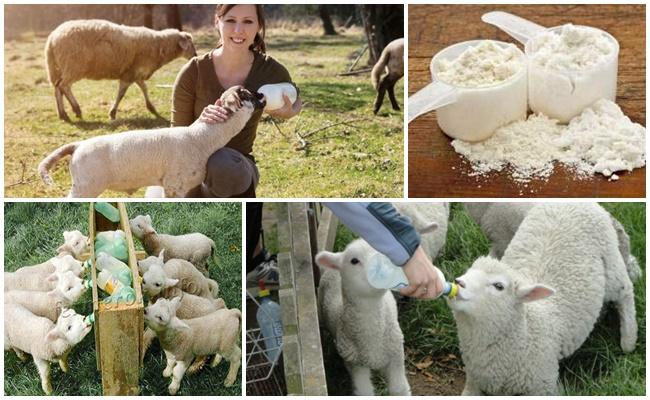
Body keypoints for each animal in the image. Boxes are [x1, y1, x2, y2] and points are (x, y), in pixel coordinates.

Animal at [44, 18, 195, 121]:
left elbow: (144, 88)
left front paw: (152, 108)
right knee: (64, 86)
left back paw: (63, 114)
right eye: (190, 44)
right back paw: (76, 110)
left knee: (57, 87)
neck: (159, 46)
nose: (195, 55)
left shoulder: (135, 73)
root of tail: (53, 37)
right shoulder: (131, 74)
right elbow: (122, 93)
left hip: (61, 67)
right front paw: (112, 113)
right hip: (74, 66)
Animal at [316, 239, 410, 396]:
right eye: (354, 260)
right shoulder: (356, 365)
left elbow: (399, 389)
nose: (382, 267)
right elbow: (365, 392)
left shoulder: (396, 356)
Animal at [448, 203, 636, 394]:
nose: (458, 282)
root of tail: (581, 203)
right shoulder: (473, 380)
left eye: (499, 286)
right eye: (468, 271)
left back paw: (629, 339)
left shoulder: (542, 385)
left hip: (610, 261)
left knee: (625, 290)